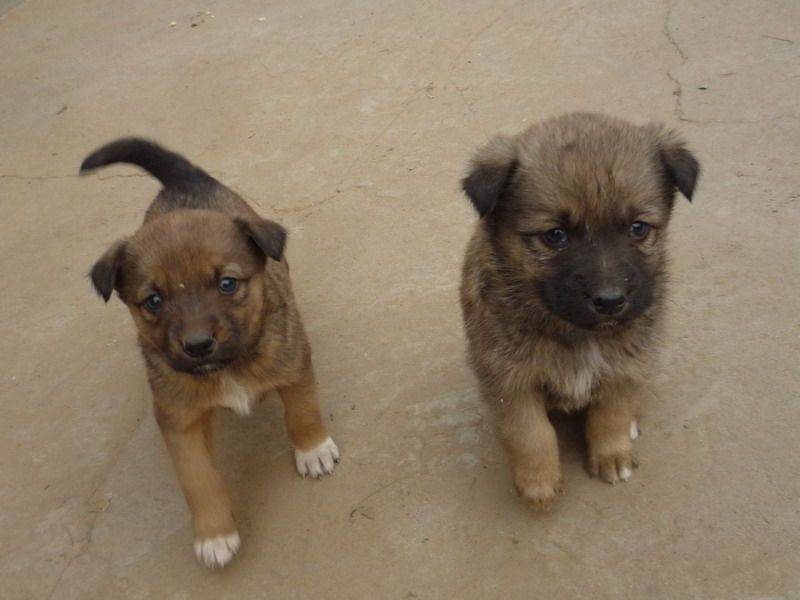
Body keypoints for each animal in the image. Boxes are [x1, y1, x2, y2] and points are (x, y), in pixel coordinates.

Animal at [83, 139, 340, 568]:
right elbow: (198, 479)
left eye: (227, 284)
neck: (228, 368)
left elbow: (302, 411)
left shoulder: (292, 364)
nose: (198, 345)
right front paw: (214, 535)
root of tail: (182, 177)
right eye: (153, 301)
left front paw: (313, 450)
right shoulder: (179, 419)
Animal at [460, 111, 696, 506]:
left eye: (638, 228)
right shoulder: (510, 379)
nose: (611, 301)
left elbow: (611, 414)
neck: (578, 333)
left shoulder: (625, 366)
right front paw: (538, 481)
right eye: (556, 235)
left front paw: (613, 455)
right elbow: (530, 432)